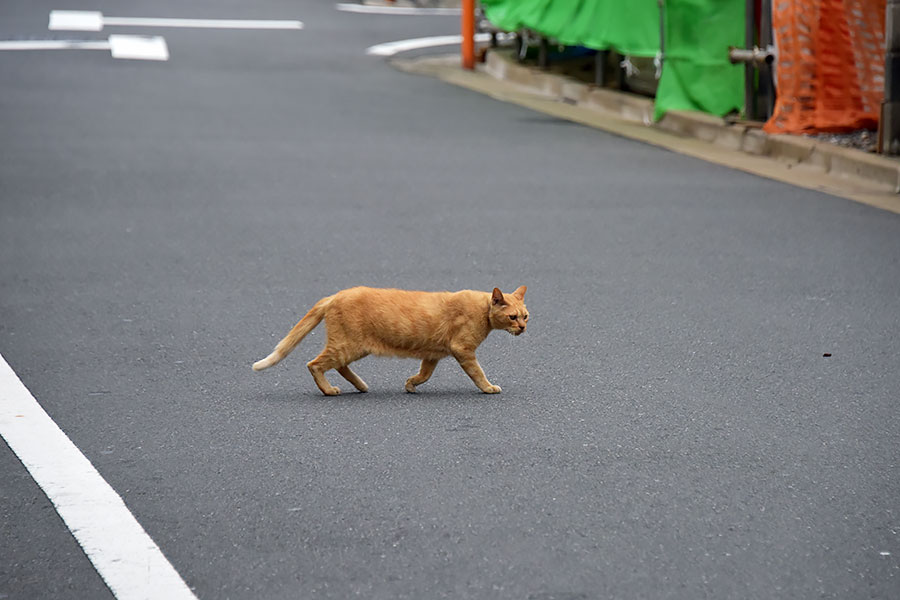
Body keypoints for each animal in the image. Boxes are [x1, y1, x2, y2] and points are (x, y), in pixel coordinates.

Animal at [250, 284, 528, 394]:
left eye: (526, 316)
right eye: (513, 317)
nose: (523, 328)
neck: (482, 310)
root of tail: (336, 294)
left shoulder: (432, 354)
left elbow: (424, 374)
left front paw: (410, 384)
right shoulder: (463, 350)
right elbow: (478, 373)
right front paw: (489, 388)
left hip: (352, 347)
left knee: (338, 366)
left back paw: (360, 385)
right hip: (347, 345)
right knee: (314, 364)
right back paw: (329, 390)